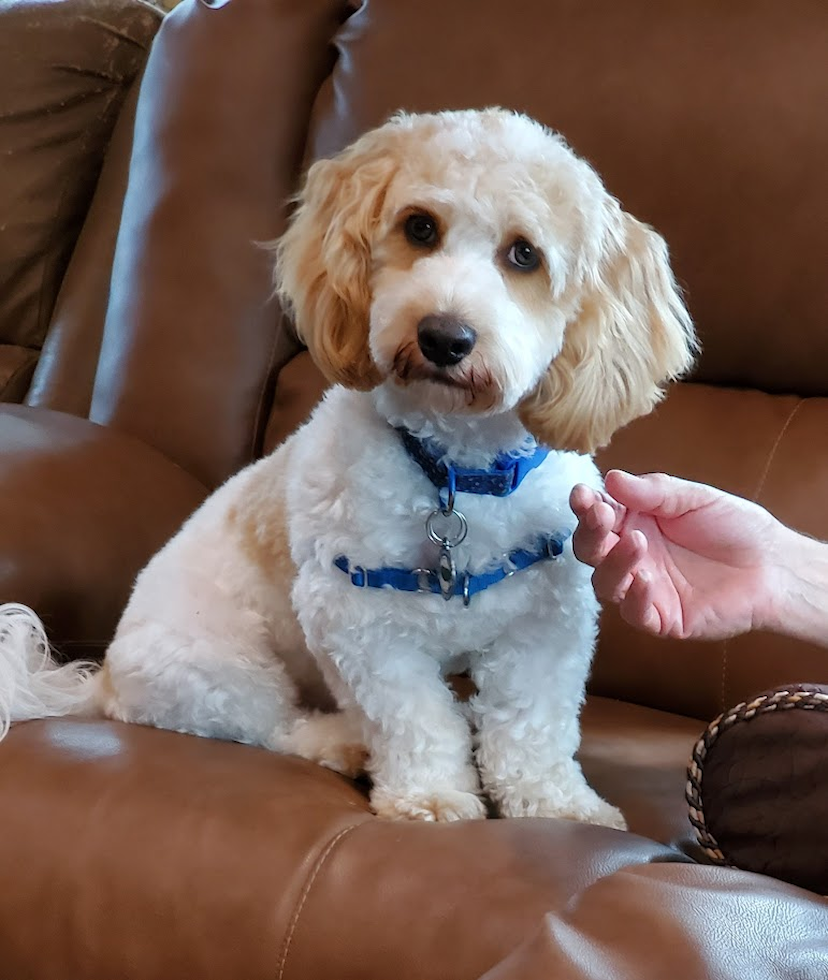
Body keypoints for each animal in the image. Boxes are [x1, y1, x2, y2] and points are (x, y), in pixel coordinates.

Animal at [0, 107, 696, 828]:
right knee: (275, 724)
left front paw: (555, 804)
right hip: (218, 668)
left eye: (524, 254)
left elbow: (532, 726)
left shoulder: (546, 622)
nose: (443, 336)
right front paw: (431, 795)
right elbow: (415, 719)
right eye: (420, 226)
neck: (454, 472)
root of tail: (101, 677)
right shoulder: (358, 620)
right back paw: (341, 742)